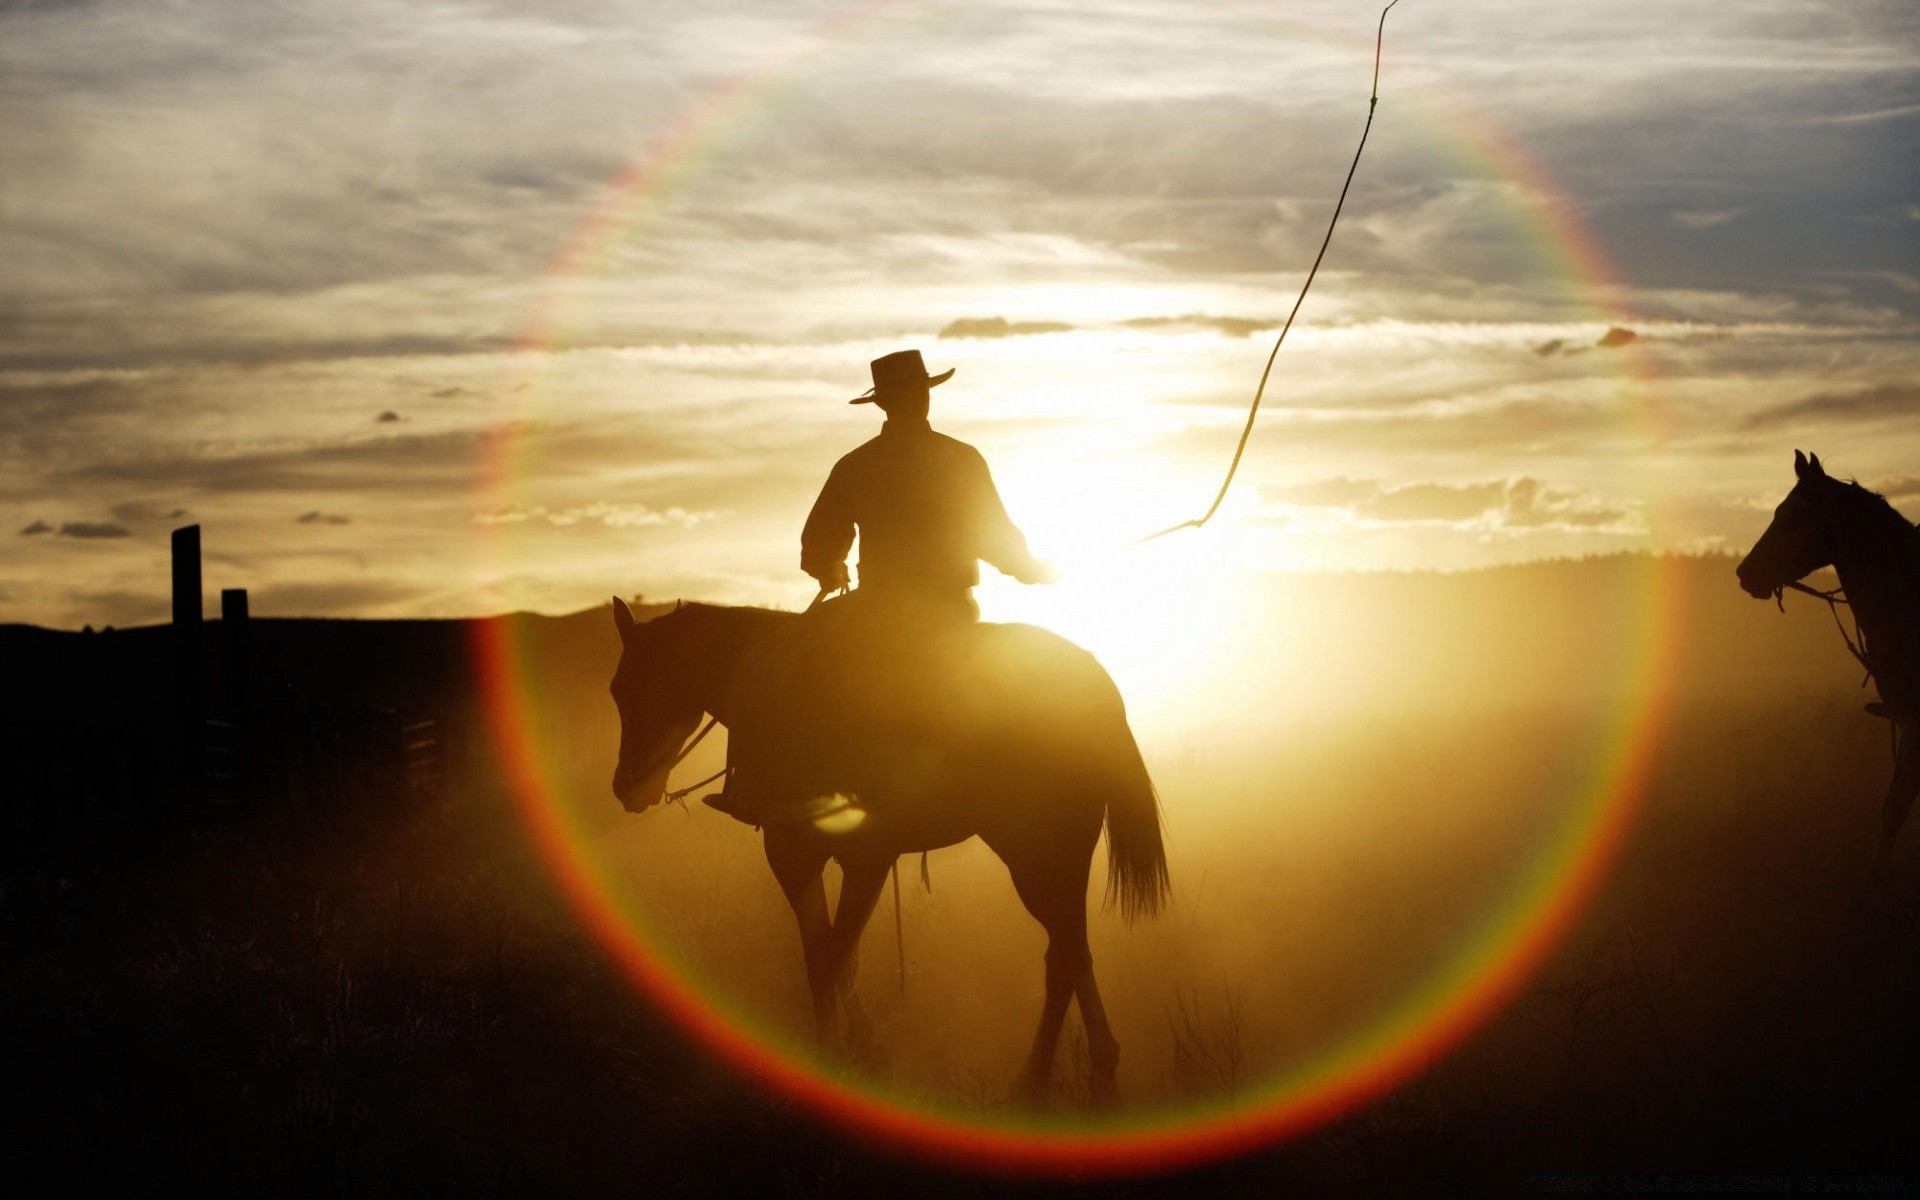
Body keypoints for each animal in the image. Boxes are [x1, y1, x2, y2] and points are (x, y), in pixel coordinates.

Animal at [602, 599, 1167, 1098]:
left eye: (635, 686)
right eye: (615, 690)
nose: (626, 787)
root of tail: (1094, 680)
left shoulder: (845, 857)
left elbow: (829, 956)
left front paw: (834, 1053)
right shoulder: (816, 858)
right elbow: (834, 951)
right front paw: (860, 1042)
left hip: (1037, 856)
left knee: (1065, 955)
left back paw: (1044, 1079)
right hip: (1056, 859)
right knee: (1071, 952)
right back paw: (1086, 1070)